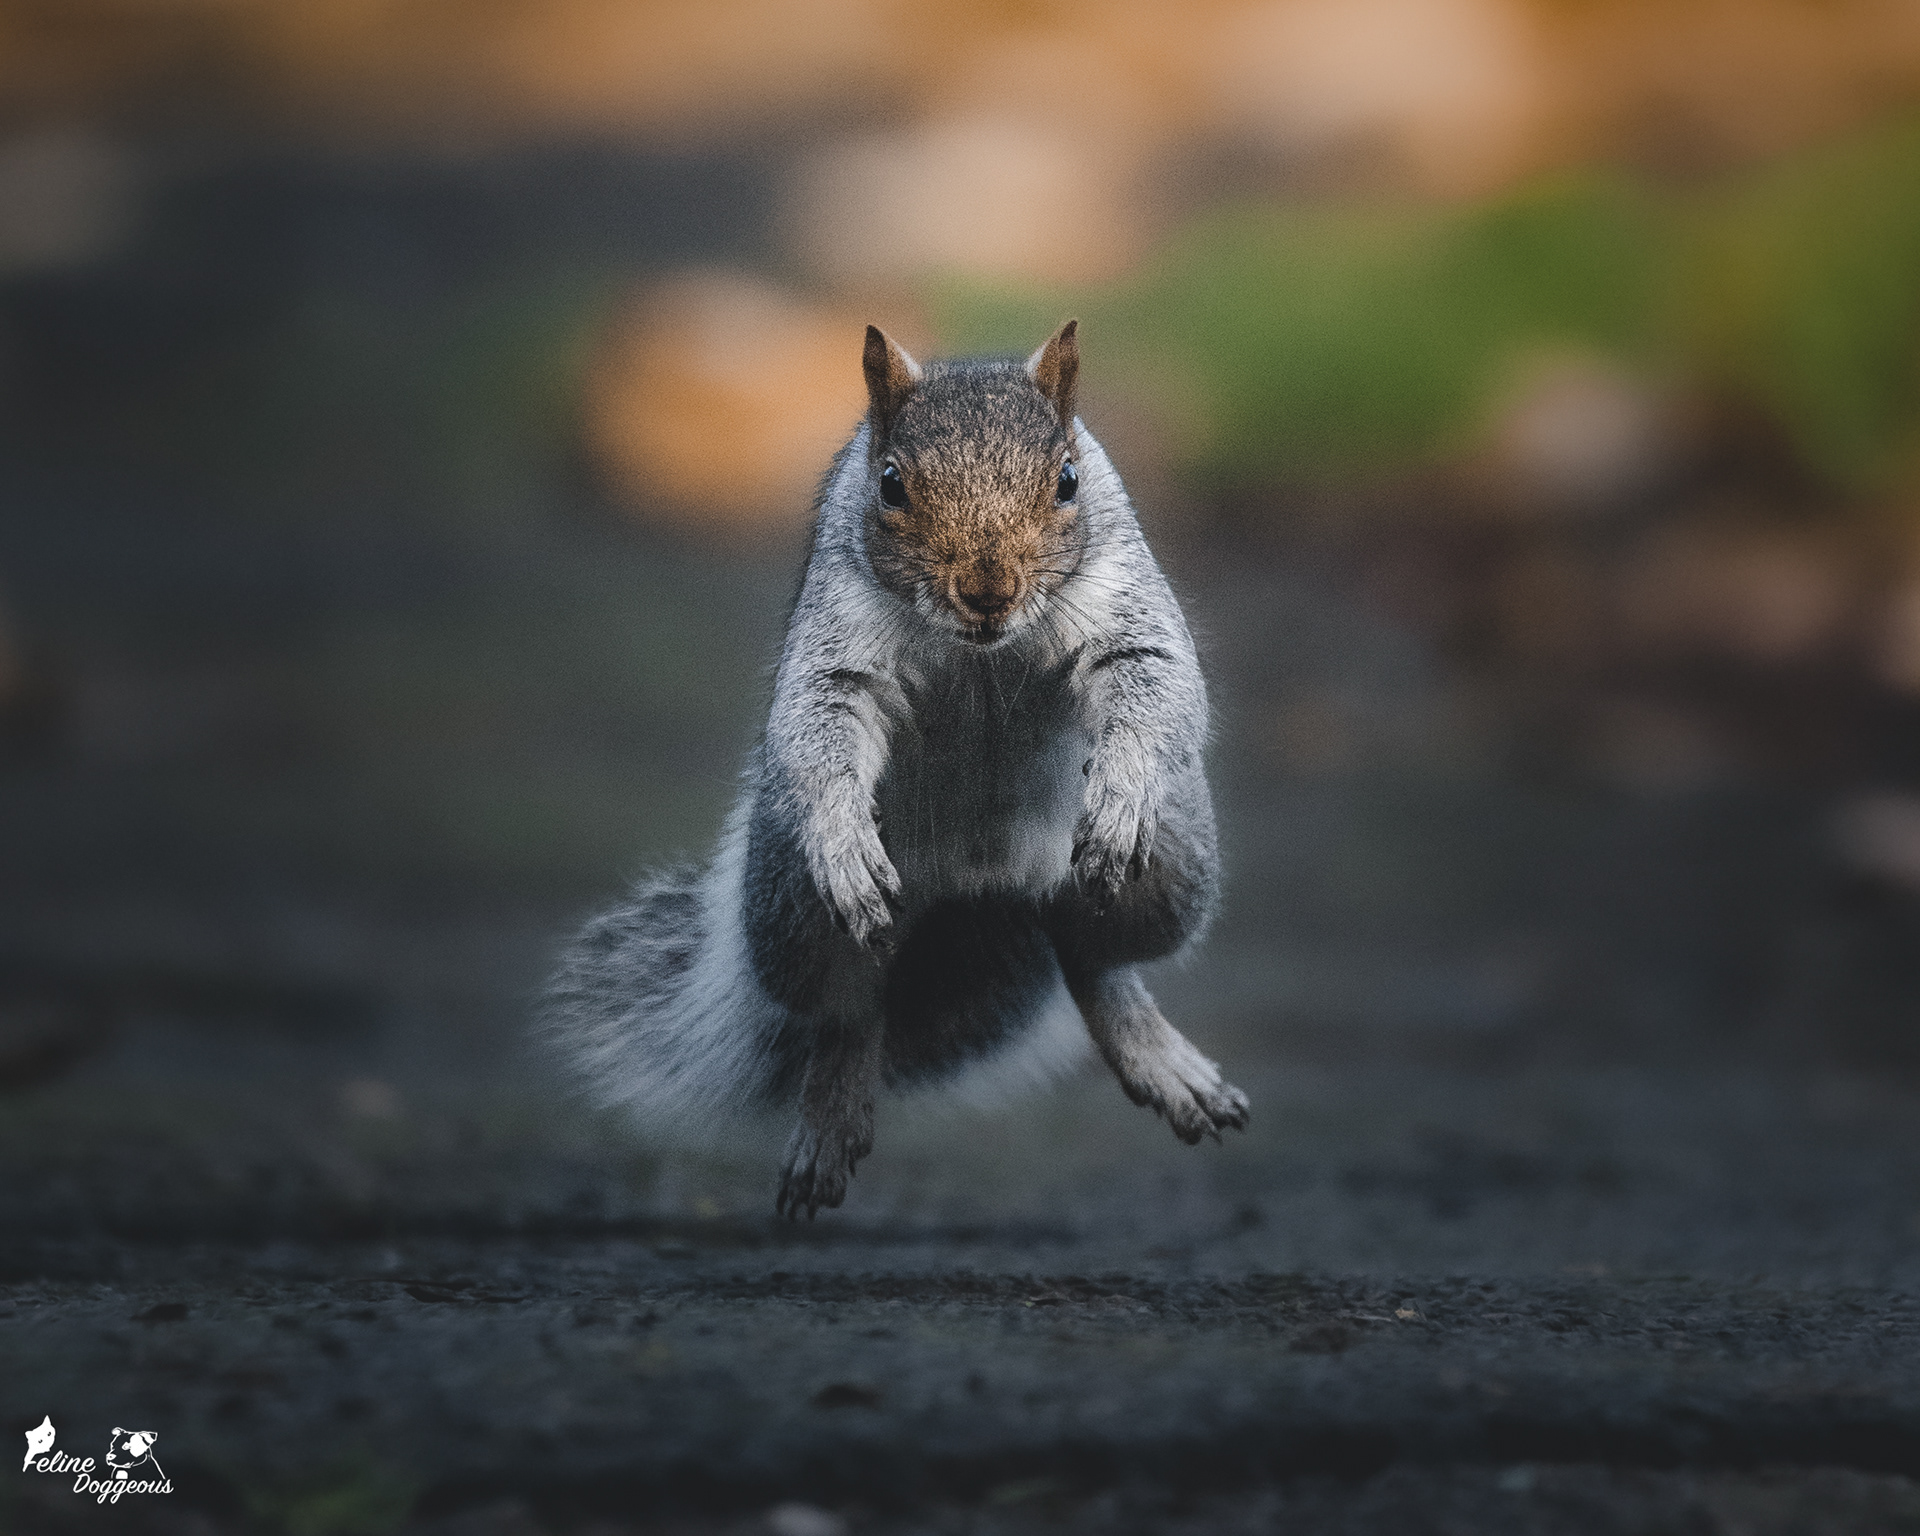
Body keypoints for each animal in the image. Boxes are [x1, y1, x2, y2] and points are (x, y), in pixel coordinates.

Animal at [545, 320, 1248, 1217]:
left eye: (1067, 480)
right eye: (890, 485)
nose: (988, 588)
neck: (981, 653)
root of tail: (982, 888)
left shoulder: (1124, 605)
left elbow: (1155, 680)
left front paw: (1120, 796)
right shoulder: (838, 644)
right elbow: (821, 719)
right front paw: (846, 839)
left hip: (1173, 872)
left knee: (1092, 959)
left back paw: (1154, 1051)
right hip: (790, 909)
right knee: (852, 1008)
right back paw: (831, 1111)